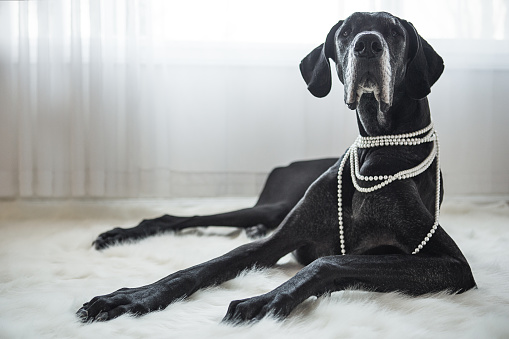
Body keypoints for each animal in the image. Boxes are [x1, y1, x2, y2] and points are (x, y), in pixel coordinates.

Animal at [77, 11, 474, 324]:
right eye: (346, 32)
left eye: (393, 31)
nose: (367, 46)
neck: (377, 149)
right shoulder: (276, 241)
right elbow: (197, 269)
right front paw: (131, 297)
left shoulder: (452, 264)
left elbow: (328, 262)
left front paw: (265, 300)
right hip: (275, 206)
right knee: (184, 218)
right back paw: (120, 234)